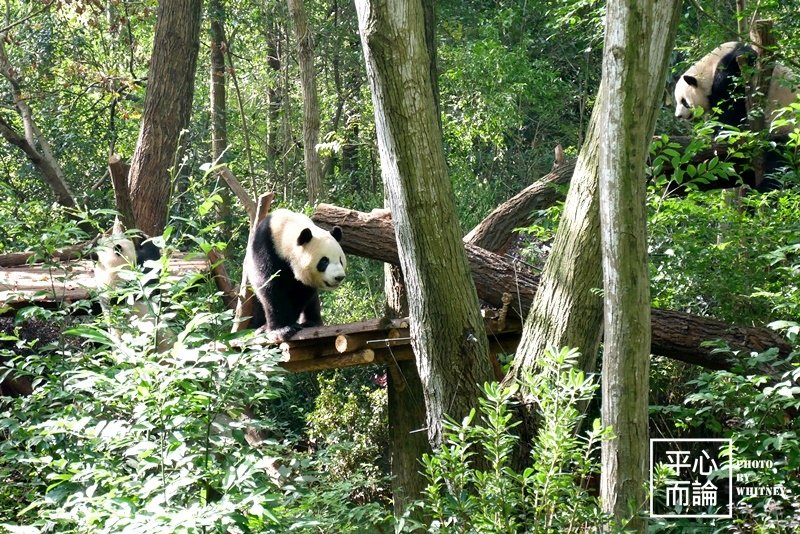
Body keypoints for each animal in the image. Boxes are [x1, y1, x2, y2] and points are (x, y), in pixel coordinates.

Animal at [244, 209, 344, 344]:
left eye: (340, 260)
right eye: (324, 261)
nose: (339, 277)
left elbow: (301, 292)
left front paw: (291, 324)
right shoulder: (264, 248)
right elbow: (269, 286)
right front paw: (282, 329)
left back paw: (311, 323)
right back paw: (260, 328)